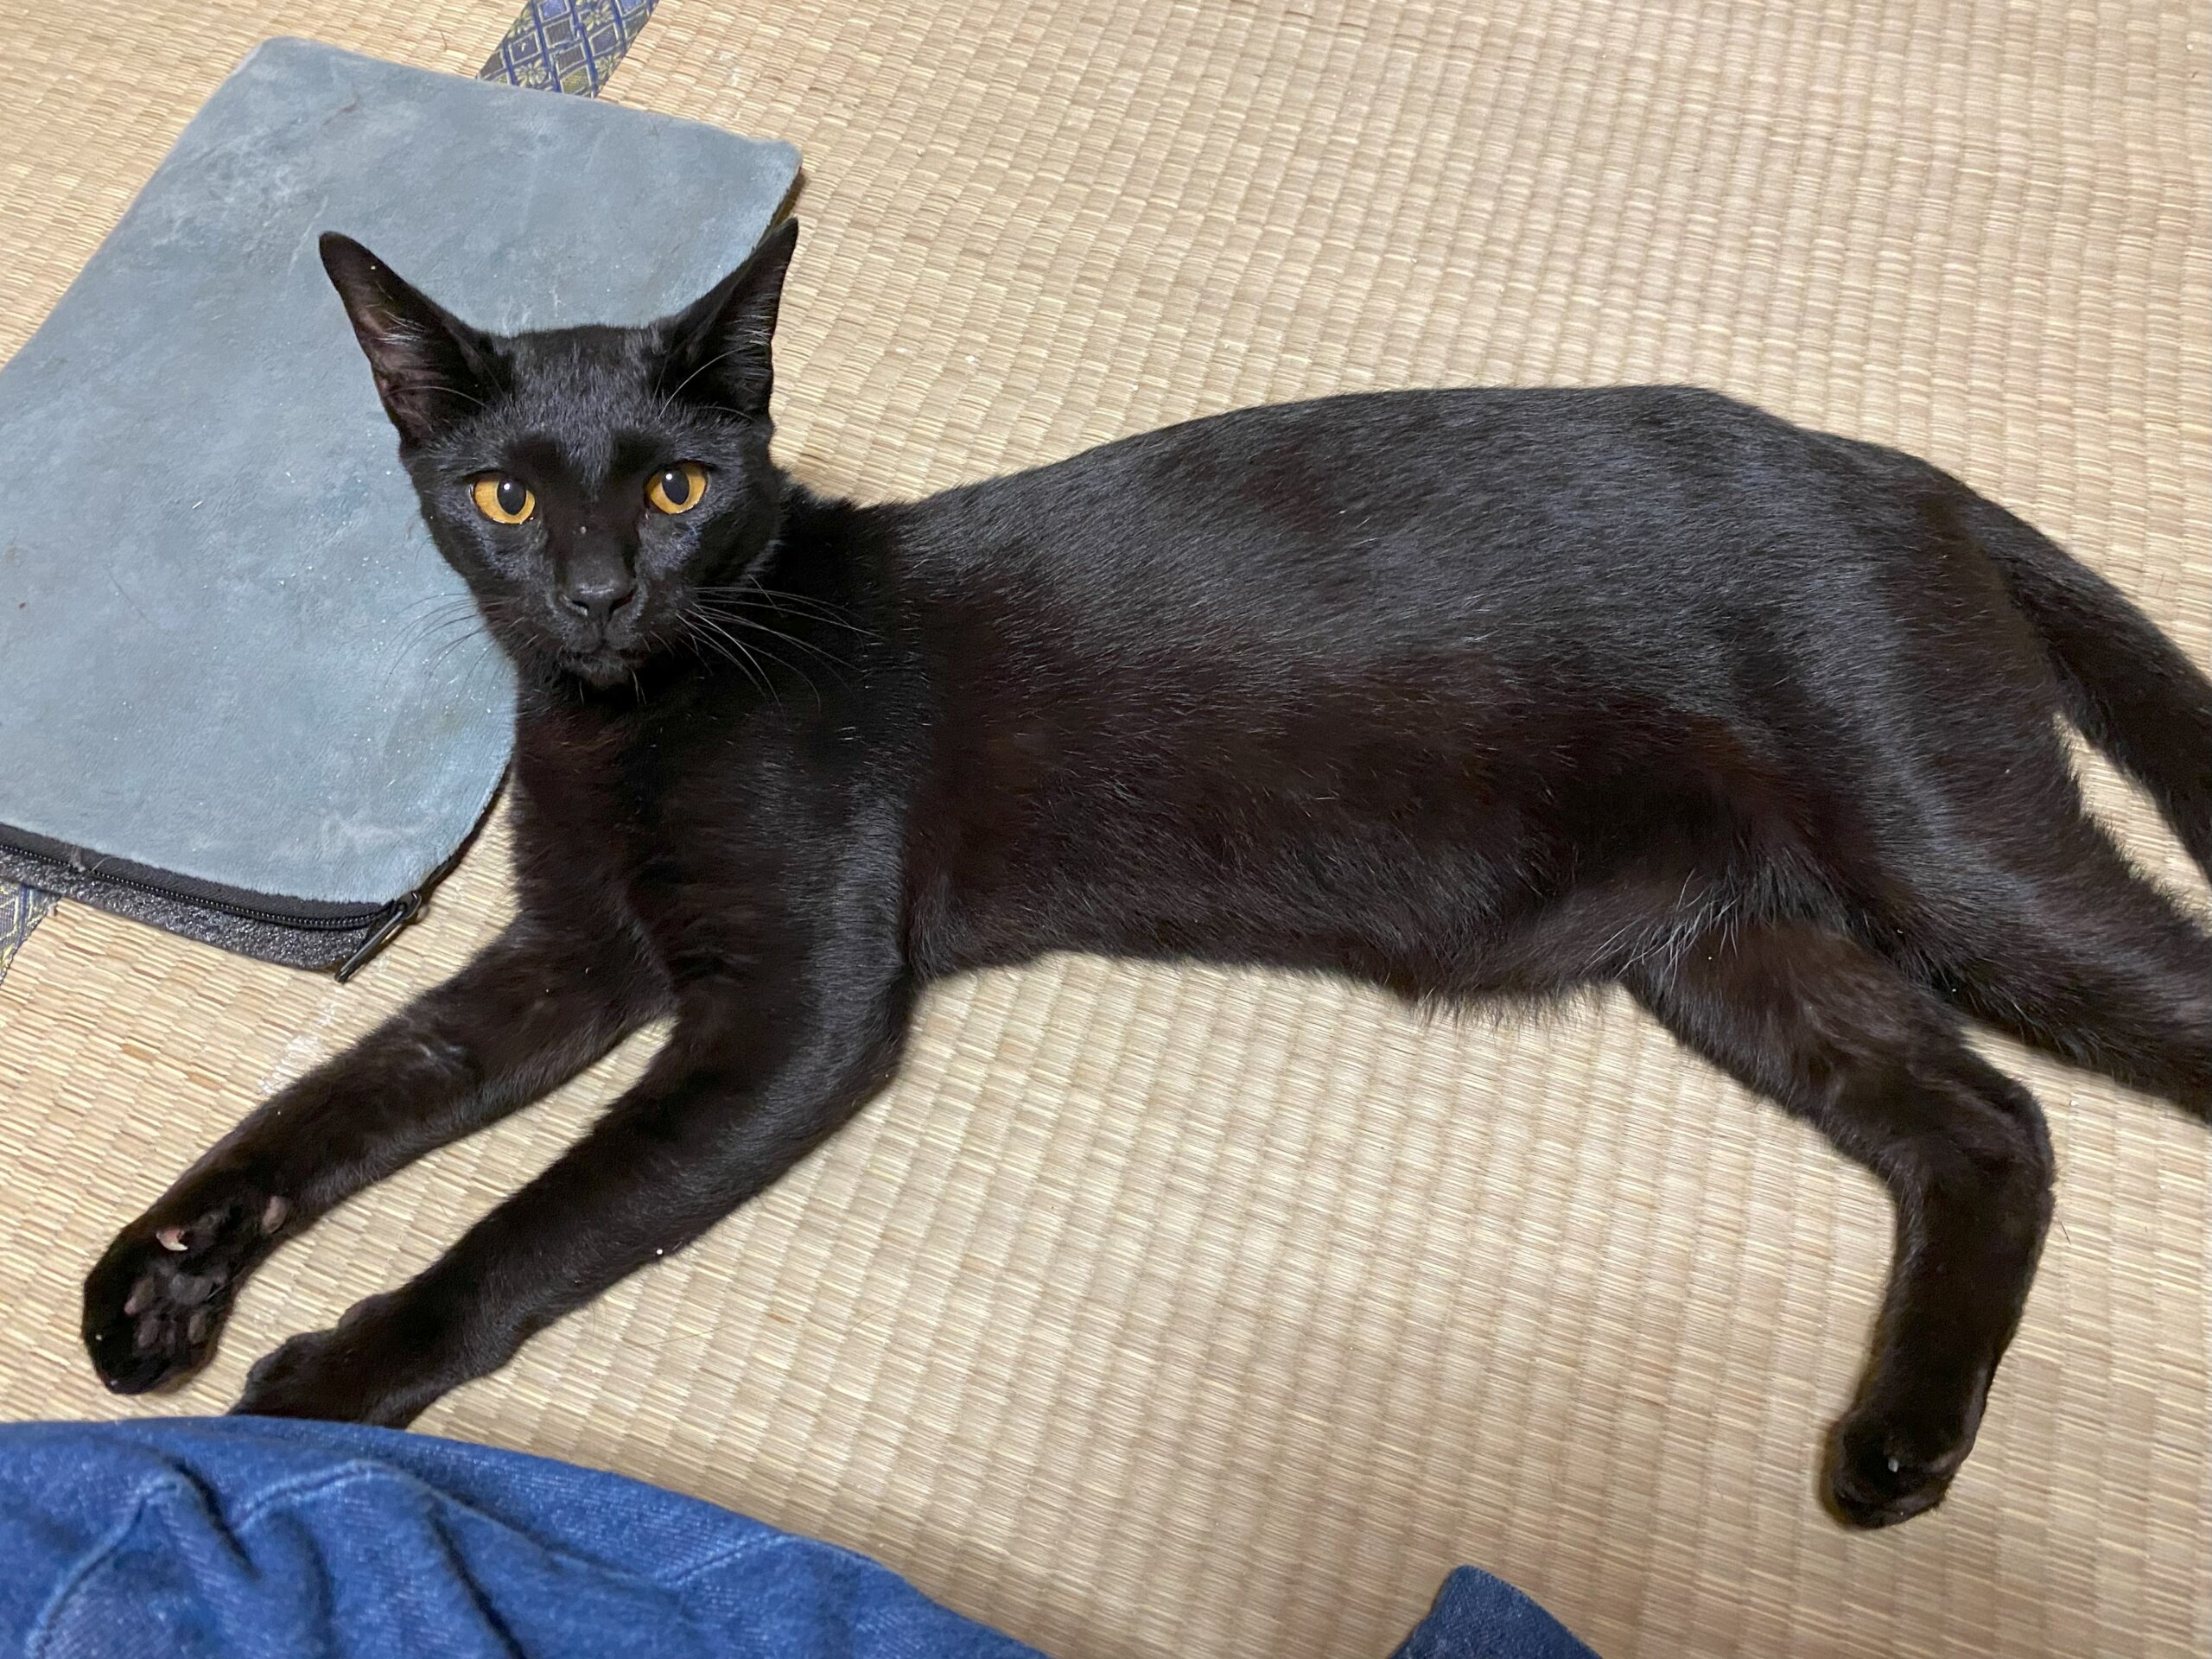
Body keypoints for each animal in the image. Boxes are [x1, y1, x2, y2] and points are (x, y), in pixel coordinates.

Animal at [81, 218, 2212, 1530]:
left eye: (679, 490)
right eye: (507, 497)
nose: (597, 593)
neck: (628, 717)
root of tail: (1904, 475)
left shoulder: (794, 1006)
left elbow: (534, 1221)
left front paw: (333, 1379)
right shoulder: (567, 953)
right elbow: (355, 1090)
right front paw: (158, 1279)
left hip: (1941, 853)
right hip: (1737, 946)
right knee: (1989, 1124)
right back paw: (1895, 1449)